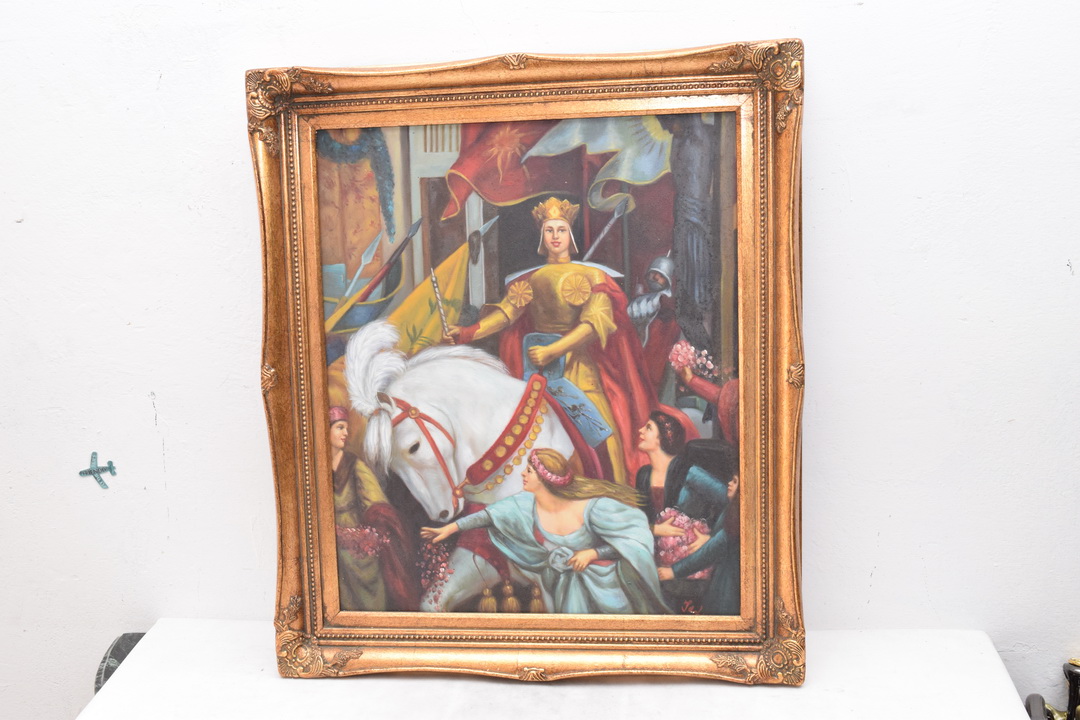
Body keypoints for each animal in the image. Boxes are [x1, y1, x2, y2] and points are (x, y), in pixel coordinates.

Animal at [345, 321, 588, 612]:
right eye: (391, 465)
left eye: (414, 447)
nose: (440, 514)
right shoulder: (483, 554)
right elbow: (431, 603)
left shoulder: (559, 575)